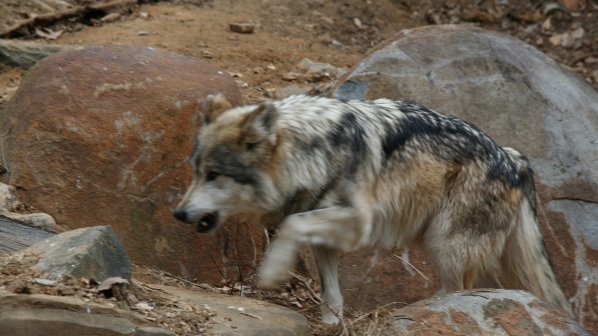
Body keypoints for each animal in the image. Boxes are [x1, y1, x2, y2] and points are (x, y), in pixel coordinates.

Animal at [172, 92, 572, 322]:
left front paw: (271, 274)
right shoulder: (326, 232)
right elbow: (331, 293)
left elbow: (290, 225)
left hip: (445, 245)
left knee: (460, 291)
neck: (311, 149)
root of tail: (514, 159)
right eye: (196, 171)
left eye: (214, 175)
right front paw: (332, 324)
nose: (178, 213)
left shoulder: (357, 220)